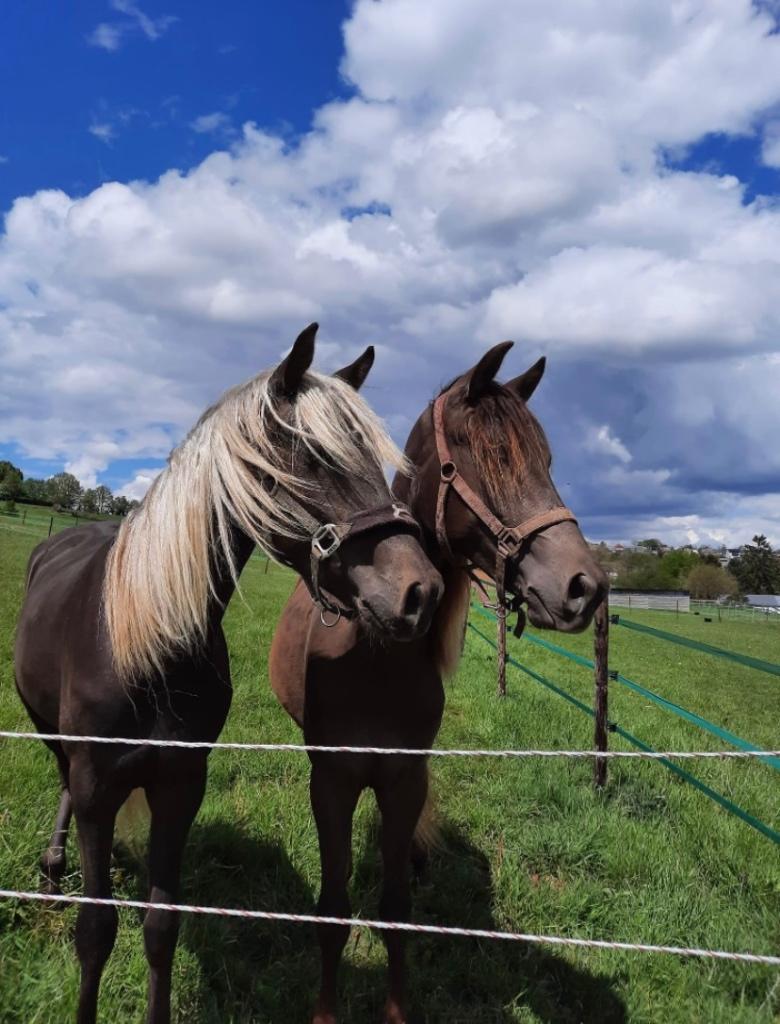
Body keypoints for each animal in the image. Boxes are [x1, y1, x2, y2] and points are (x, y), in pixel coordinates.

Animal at [14, 323, 443, 1024]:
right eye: (312, 458)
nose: (419, 592)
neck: (149, 648)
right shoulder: (97, 785)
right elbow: (96, 929)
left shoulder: (182, 784)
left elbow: (161, 926)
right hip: (52, 737)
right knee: (59, 781)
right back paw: (53, 865)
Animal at [269, 341, 608, 1024]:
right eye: (489, 457)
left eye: (548, 462)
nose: (584, 586)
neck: (374, 659)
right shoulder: (333, 781)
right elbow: (333, 907)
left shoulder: (404, 778)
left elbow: (397, 910)